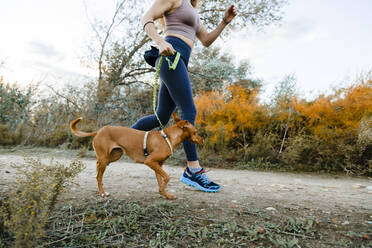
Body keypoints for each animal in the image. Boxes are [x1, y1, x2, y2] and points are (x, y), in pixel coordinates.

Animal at [70, 113, 203, 199]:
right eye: (195, 132)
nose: (202, 140)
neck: (168, 138)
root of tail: (99, 130)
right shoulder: (150, 161)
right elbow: (167, 177)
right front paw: (163, 191)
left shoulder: (158, 165)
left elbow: (160, 180)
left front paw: (165, 194)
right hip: (105, 158)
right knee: (98, 176)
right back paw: (102, 193)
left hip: (113, 156)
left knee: (98, 168)